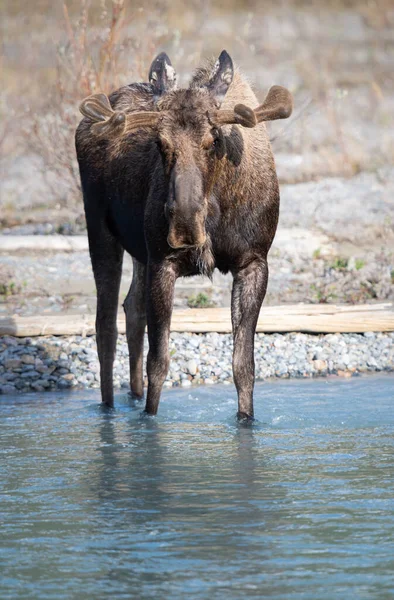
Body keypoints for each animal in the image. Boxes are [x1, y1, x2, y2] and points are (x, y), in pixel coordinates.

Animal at [76, 50, 292, 418]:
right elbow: (158, 363)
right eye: (160, 143)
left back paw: (131, 396)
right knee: (105, 325)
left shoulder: (253, 263)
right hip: (100, 228)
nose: (184, 224)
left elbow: (243, 365)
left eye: (213, 140)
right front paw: (148, 422)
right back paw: (108, 410)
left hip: (140, 252)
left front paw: (246, 419)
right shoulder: (164, 262)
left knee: (131, 309)